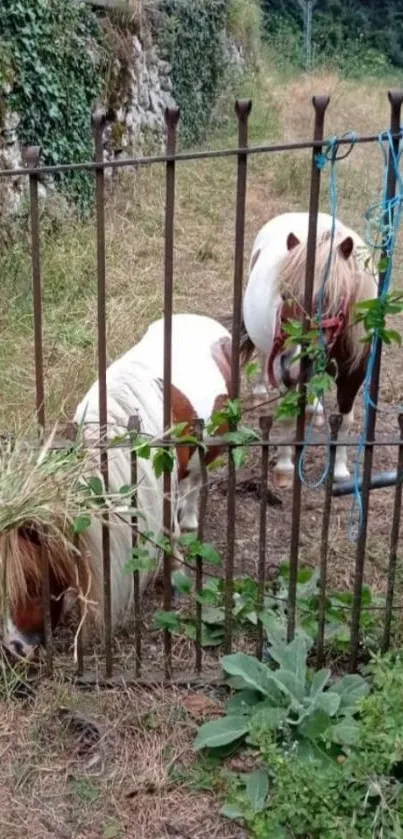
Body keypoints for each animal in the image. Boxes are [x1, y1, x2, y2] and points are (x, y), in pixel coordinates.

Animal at [241, 210, 378, 488]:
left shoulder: (354, 375)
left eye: (328, 300)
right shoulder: (282, 369)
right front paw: (284, 467)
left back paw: (315, 407)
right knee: (263, 357)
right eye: (284, 295)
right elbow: (286, 416)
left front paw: (340, 470)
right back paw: (260, 389)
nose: (291, 368)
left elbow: (345, 420)